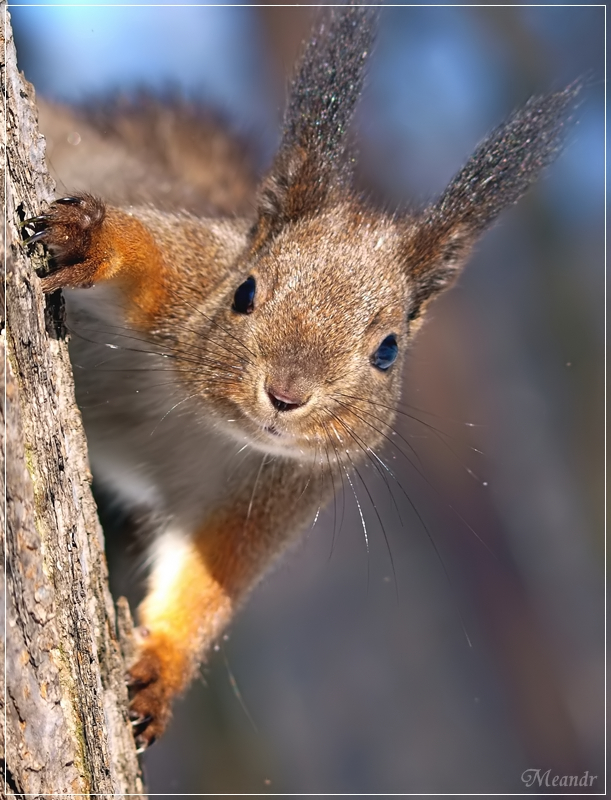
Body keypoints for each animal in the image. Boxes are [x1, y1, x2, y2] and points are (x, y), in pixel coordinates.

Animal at [25, 3, 580, 752]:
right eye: (244, 292)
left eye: (388, 351)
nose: (285, 397)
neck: (204, 420)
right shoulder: (189, 277)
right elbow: (148, 250)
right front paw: (96, 238)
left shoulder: (277, 491)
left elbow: (209, 576)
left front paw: (160, 669)